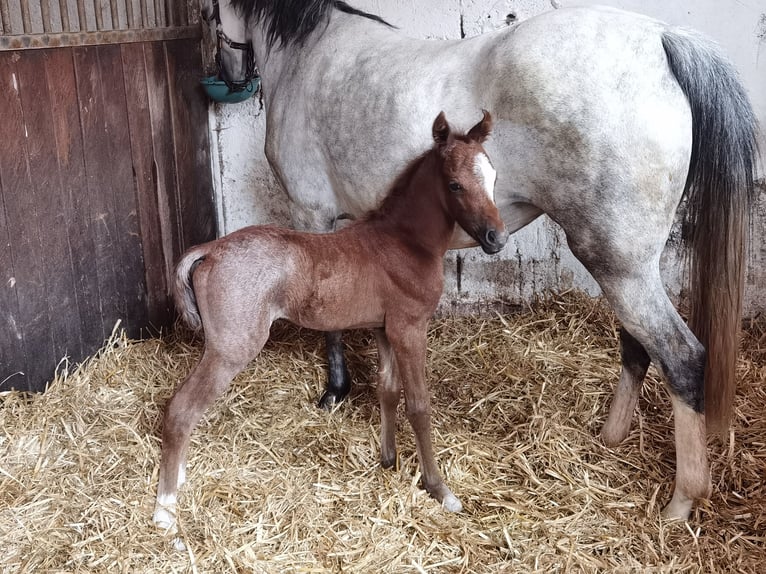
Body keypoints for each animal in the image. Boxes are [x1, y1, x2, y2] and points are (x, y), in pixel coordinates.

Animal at [153, 111, 507, 534]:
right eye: (455, 184)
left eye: (493, 177)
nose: (497, 238)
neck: (405, 242)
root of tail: (210, 250)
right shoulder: (409, 328)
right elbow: (419, 406)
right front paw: (439, 489)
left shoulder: (383, 329)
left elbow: (387, 391)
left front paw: (388, 460)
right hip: (230, 349)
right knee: (181, 410)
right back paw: (165, 509)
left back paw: (179, 480)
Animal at [202, 0, 759, 519]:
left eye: (209, 15)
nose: (232, 77)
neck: (309, 52)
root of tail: (660, 39)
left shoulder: (311, 214)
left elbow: (330, 324)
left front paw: (334, 391)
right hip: (630, 265)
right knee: (639, 345)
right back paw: (610, 438)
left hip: (618, 263)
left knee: (682, 358)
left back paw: (681, 502)